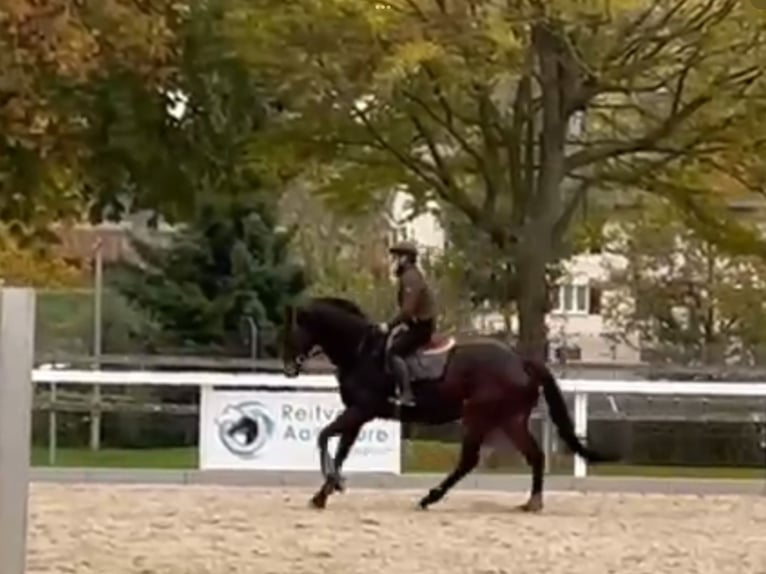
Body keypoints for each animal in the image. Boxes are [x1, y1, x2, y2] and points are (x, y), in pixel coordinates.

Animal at [282, 300, 616, 510]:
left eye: (294, 329)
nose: (288, 367)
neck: (362, 351)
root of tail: (520, 361)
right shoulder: (359, 415)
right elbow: (340, 451)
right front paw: (325, 493)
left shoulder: (360, 410)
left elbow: (323, 437)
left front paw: (332, 484)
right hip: (511, 419)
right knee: (535, 456)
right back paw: (532, 502)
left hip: (478, 416)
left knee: (468, 460)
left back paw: (430, 498)